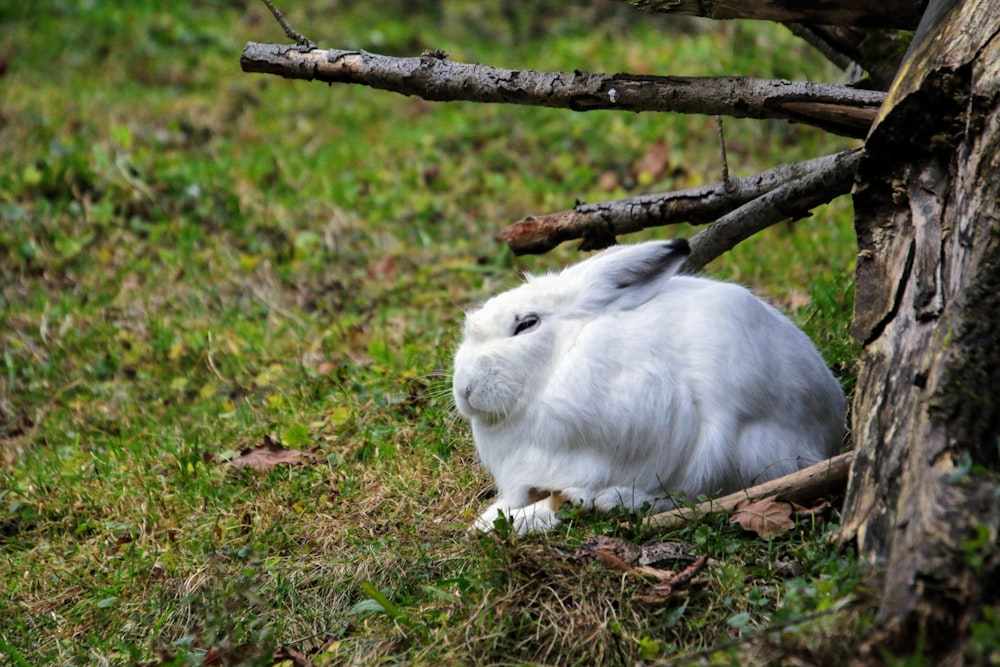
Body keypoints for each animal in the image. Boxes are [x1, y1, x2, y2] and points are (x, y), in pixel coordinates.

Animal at [454, 237, 844, 536]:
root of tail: (830, 432)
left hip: (737, 449)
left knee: (699, 495)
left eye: (526, 325)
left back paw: (617, 500)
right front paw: (490, 519)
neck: (559, 361)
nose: (464, 389)